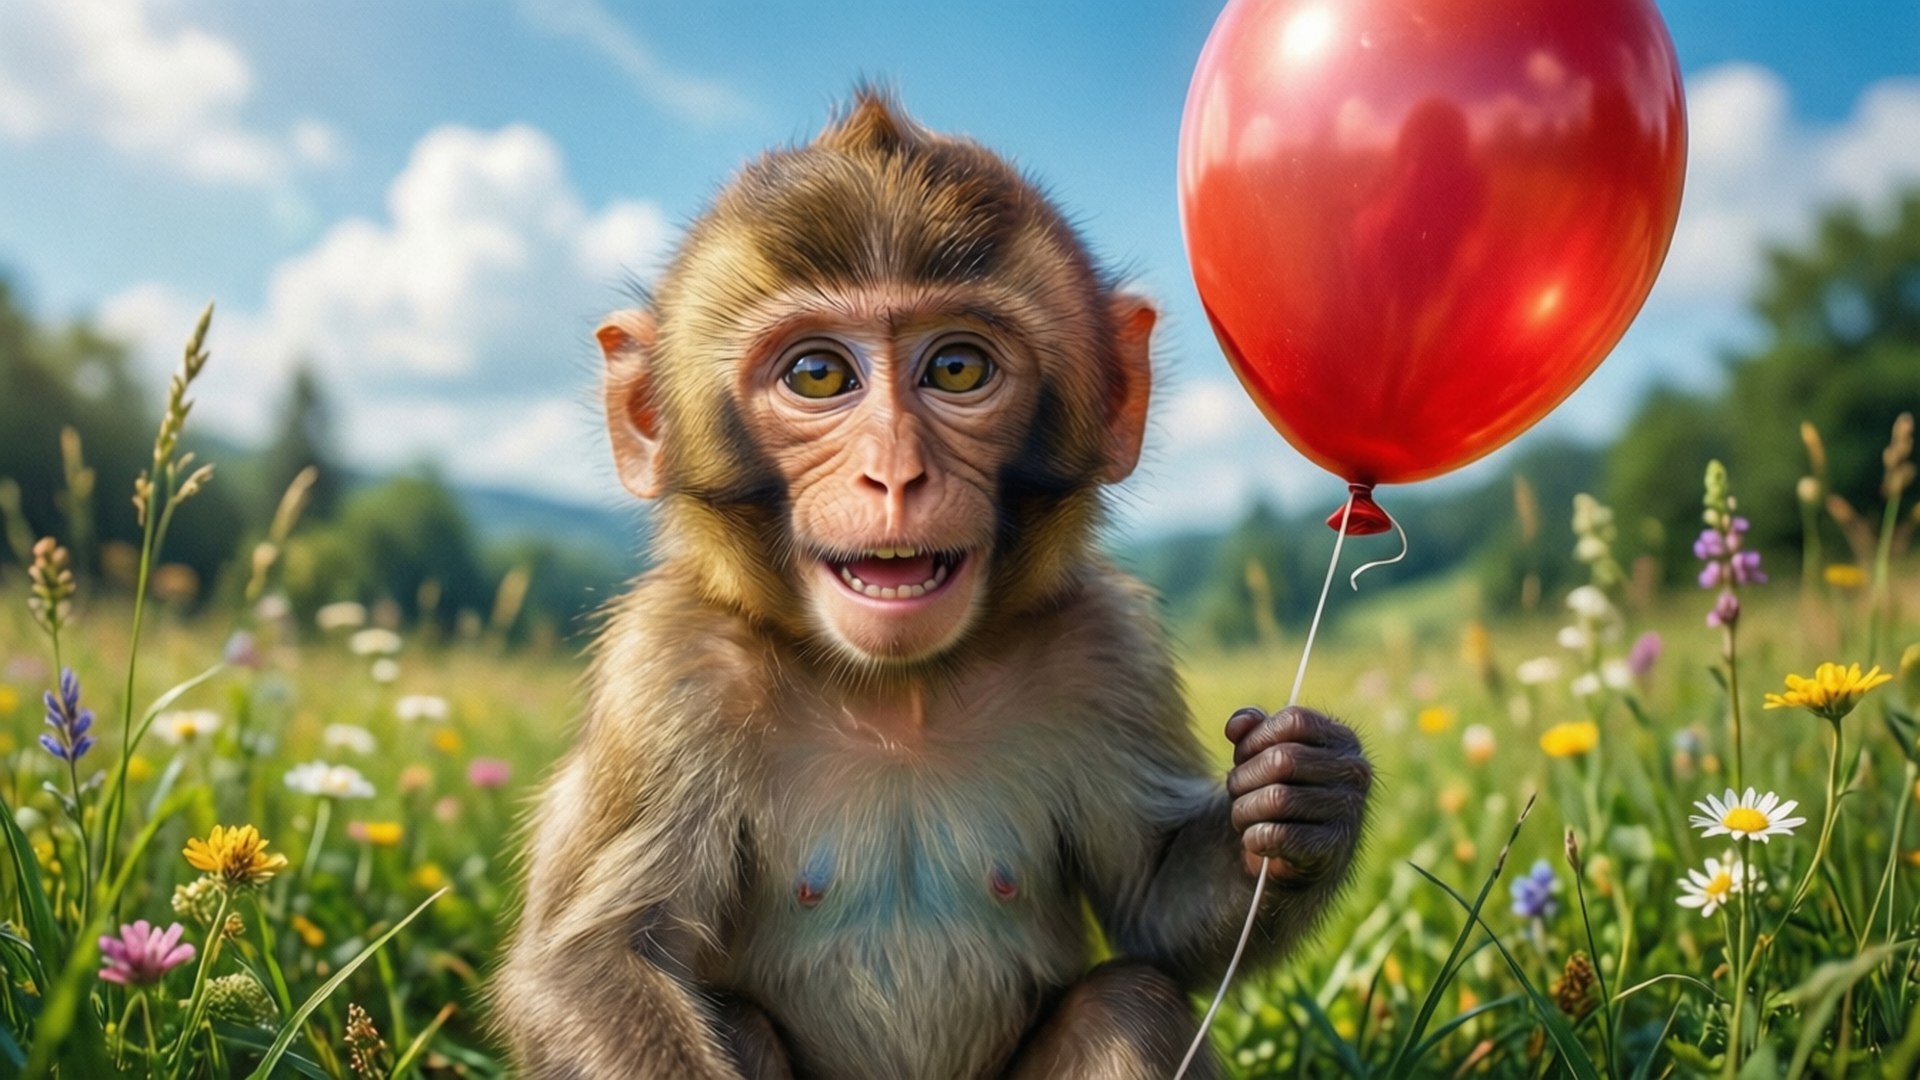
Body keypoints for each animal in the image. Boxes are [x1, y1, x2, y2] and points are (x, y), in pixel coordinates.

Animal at [491, 90, 1373, 1080]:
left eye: (957, 367)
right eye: (817, 374)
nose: (895, 474)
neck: (898, 690)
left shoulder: (1107, 648)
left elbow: (1155, 910)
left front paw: (1303, 794)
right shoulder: (670, 666)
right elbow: (593, 961)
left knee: (1129, 1001)